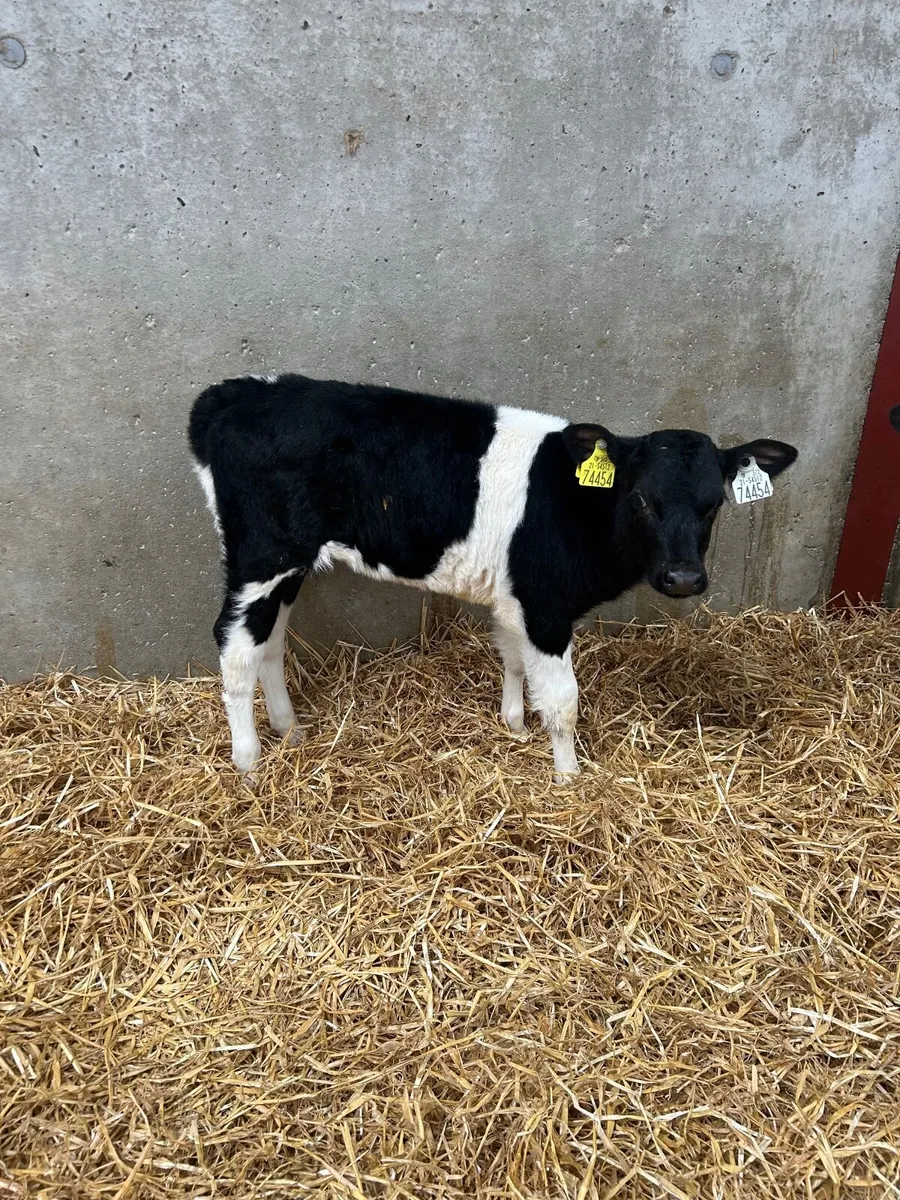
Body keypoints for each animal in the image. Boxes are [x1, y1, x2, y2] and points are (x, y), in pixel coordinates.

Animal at [188, 372, 797, 781]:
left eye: (713, 504)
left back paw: (289, 729)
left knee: (268, 640)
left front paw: (515, 725)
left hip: (289, 562)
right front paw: (569, 778)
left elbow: (512, 658)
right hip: (262, 556)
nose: (683, 578)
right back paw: (248, 763)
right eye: (645, 498)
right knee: (234, 646)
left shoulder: (515, 598)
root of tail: (235, 393)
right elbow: (563, 700)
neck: (579, 504)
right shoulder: (546, 607)